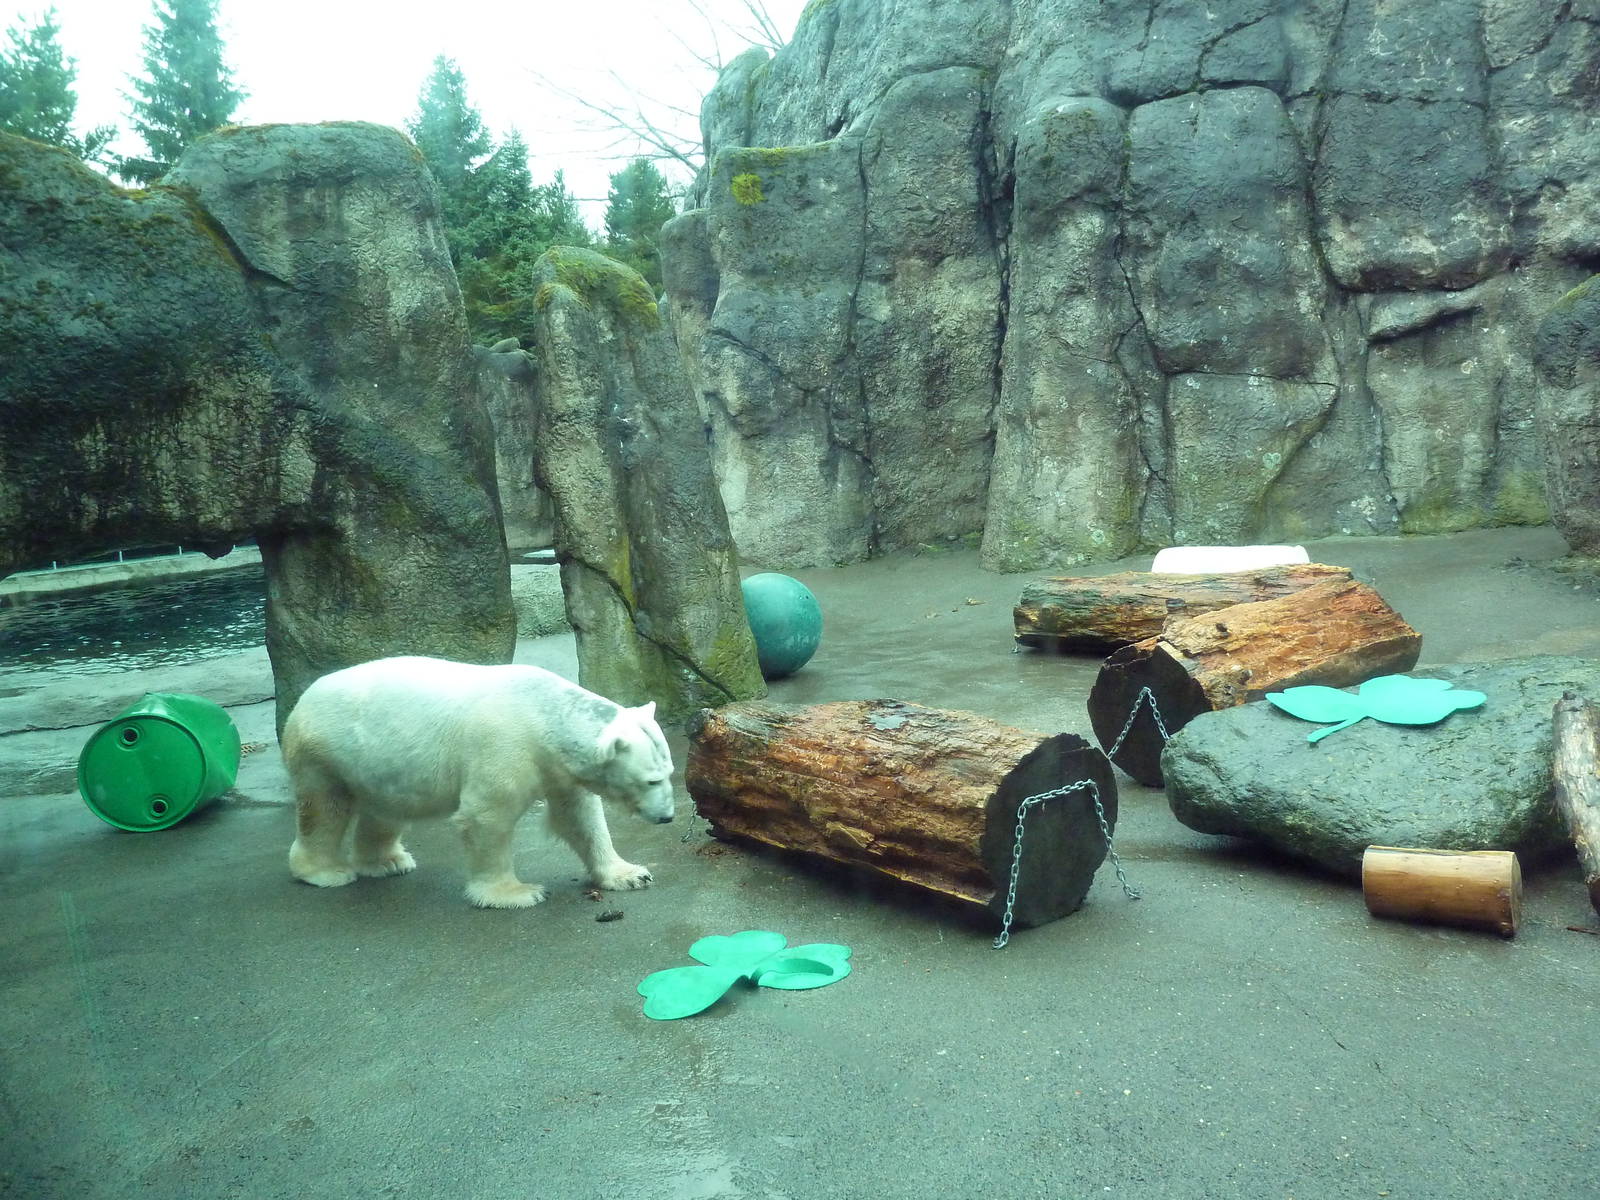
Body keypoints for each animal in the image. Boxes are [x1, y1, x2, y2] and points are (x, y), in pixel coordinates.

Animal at [281, 656, 674, 908]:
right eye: (652, 780)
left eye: (669, 773)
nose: (668, 817)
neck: (543, 714)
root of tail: (303, 700)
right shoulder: (503, 746)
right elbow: (486, 816)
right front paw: (516, 893)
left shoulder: (557, 767)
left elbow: (579, 817)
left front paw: (631, 874)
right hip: (326, 753)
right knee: (324, 809)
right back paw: (325, 871)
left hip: (379, 762)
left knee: (386, 810)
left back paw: (388, 862)